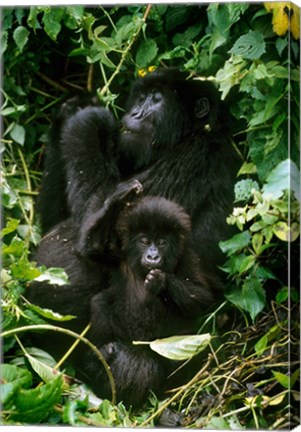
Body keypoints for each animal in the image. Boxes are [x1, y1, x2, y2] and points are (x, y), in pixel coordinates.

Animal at [84, 196, 220, 408]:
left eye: (162, 242)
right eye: (145, 241)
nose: (153, 256)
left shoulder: (186, 257)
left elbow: (202, 297)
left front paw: (161, 282)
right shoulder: (118, 253)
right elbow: (92, 248)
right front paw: (117, 200)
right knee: (101, 302)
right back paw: (102, 352)